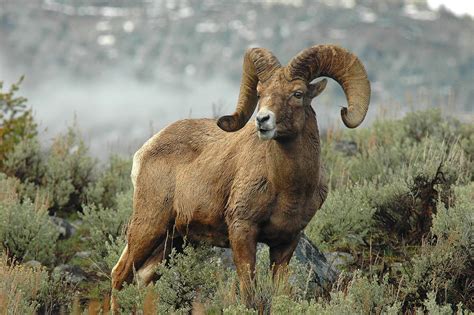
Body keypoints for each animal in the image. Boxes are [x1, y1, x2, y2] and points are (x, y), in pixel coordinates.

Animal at [111, 43, 370, 312]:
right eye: (260, 92)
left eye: (298, 93)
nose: (262, 120)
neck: (288, 188)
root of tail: (146, 149)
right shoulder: (242, 230)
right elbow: (249, 293)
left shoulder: (286, 243)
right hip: (149, 226)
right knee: (119, 275)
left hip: (172, 241)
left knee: (141, 279)